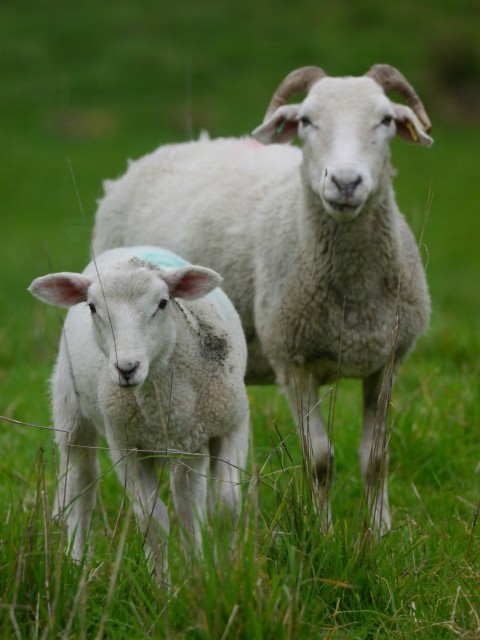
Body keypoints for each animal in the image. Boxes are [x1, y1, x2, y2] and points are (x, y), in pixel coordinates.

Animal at [29, 245, 251, 576]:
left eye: (163, 303)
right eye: (92, 307)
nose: (127, 368)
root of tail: (128, 250)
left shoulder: (232, 425)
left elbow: (225, 506)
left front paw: (224, 575)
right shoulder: (127, 447)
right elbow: (153, 522)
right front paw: (163, 586)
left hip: (190, 441)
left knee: (187, 502)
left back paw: (195, 567)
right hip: (71, 411)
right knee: (80, 485)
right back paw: (77, 564)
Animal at [92, 66, 434, 536]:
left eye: (385, 120)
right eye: (306, 120)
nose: (345, 183)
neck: (354, 295)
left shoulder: (387, 361)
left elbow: (376, 459)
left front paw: (380, 534)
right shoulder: (293, 362)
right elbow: (319, 461)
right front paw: (324, 535)